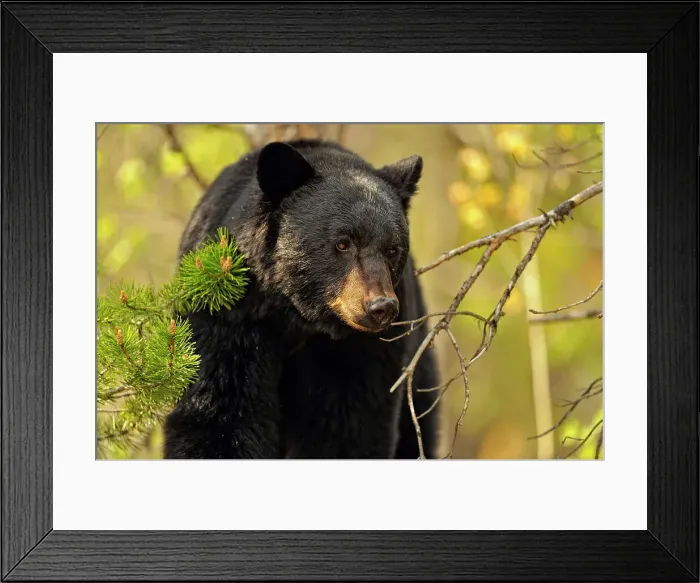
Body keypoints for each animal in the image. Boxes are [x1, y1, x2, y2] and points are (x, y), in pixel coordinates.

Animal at [163, 138, 442, 459]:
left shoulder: (364, 349)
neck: (297, 316)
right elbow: (219, 411)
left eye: (393, 249)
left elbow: (350, 424)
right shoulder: (229, 314)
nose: (380, 307)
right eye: (343, 243)